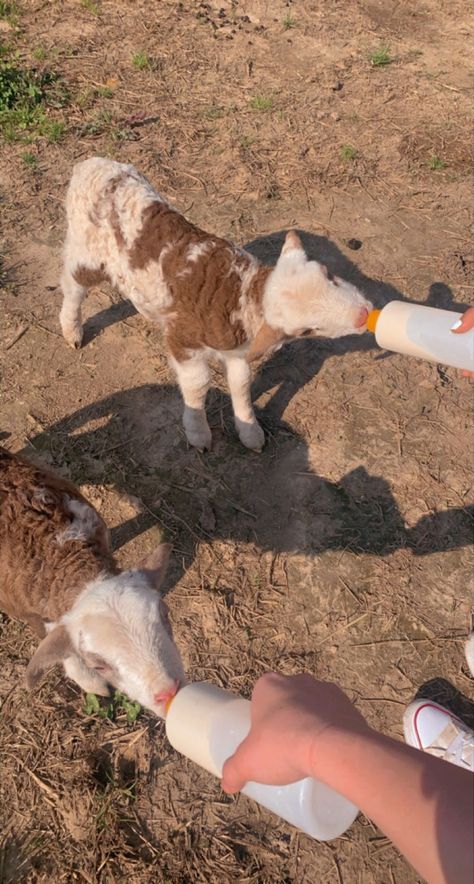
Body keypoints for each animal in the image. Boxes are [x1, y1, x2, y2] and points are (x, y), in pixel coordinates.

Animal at [0, 448, 185, 720]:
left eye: (166, 614)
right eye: (99, 665)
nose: (169, 692)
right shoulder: (25, 609)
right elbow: (51, 639)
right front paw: (89, 680)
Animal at [58, 155, 370, 452]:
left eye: (330, 276)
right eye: (308, 330)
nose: (364, 314)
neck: (240, 293)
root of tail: (90, 165)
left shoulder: (239, 351)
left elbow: (241, 383)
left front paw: (250, 431)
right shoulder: (184, 341)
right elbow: (198, 385)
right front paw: (199, 434)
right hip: (86, 250)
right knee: (73, 285)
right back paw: (72, 330)